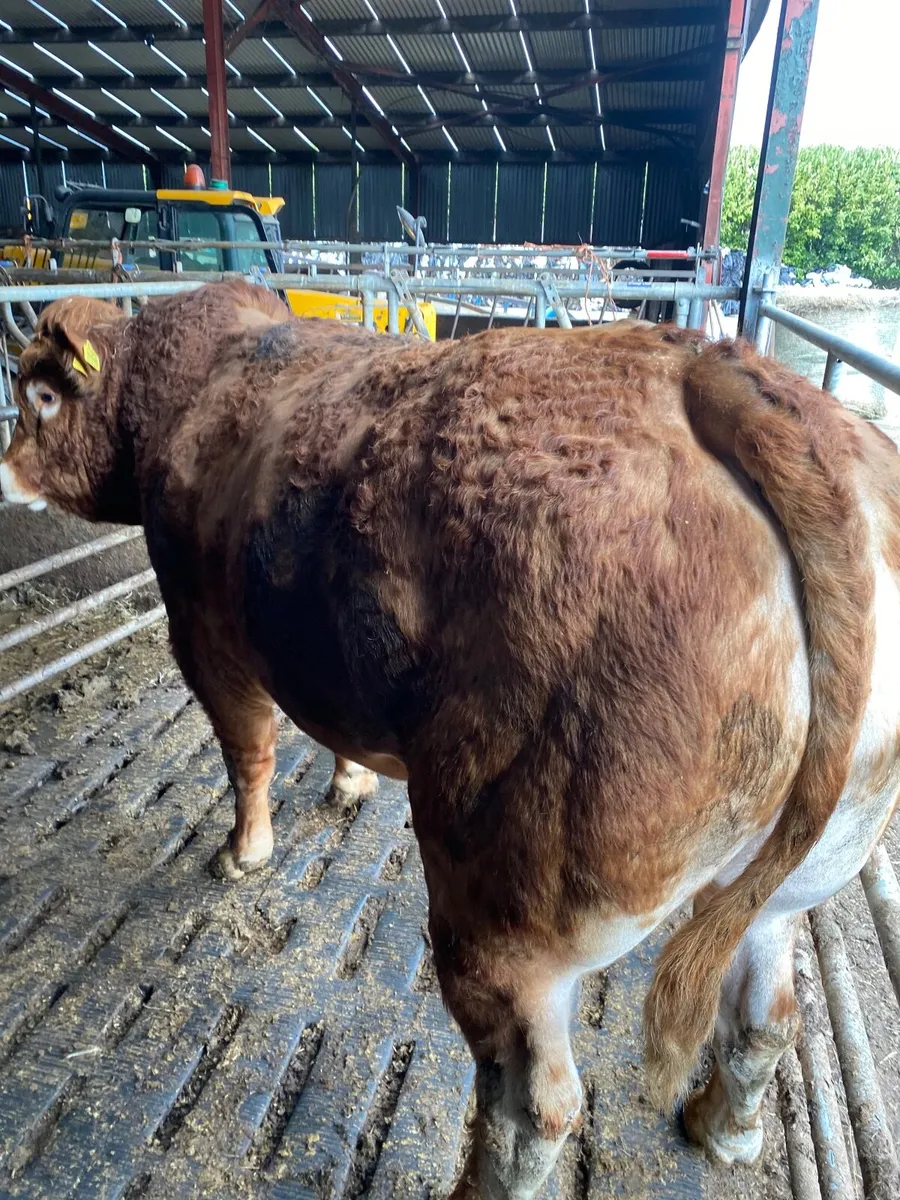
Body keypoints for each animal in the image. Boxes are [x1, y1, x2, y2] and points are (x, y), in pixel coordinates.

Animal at [2, 281, 898, 1199]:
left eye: (41, 395)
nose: (6, 470)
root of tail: (714, 371)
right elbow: (331, 729)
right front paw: (350, 784)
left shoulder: (203, 629)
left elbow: (246, 751)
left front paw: (242, 851)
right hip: (803, 874)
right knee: (768, 1019)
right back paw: (724, 1129)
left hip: (508, 913)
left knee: (533, 1107)